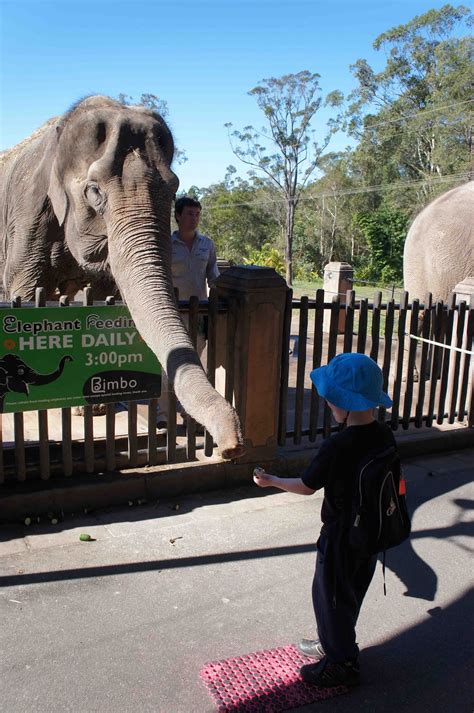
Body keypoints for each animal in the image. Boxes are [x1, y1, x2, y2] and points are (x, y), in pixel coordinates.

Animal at [0, 94, 244, 458]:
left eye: (173, 188)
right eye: (94, 192)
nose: (231, 447)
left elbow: (98, 298)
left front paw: (93, 407)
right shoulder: (27, 216)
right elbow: (26, 293)